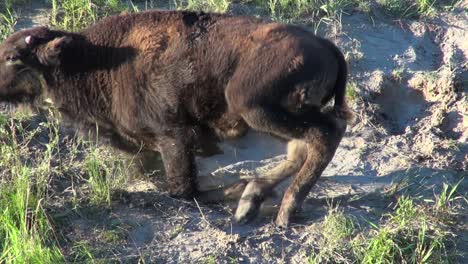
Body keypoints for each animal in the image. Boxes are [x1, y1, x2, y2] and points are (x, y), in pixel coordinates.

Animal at [0, 9, 350, 226]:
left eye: (13, 58)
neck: (95, 58)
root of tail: (328, 46)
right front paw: (242, 191)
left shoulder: (173, 137)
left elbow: (182, 189)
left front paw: (236, 188)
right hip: (271, 118)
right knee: (302, 148)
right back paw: (252, 200)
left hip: (256, 109)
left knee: (324, 136)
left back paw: (283, 210)